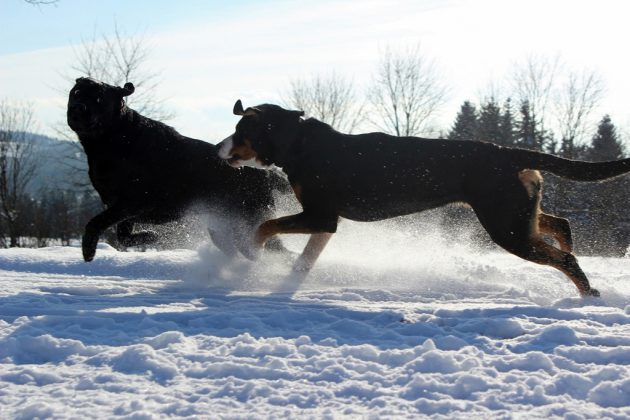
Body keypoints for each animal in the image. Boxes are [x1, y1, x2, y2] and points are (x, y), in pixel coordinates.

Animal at [66, 78, 288, 260]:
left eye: (99, 98)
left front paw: (88, 251)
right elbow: (124, 236)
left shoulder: (132, 202)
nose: (78, 107)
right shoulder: (121, 209)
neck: (115, 139)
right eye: (76, 92)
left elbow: (95, 222)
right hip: (225, 228)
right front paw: (151, 237)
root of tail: (266, 174)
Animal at [218, 99, 630, 296]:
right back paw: (572, 251)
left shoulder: (321, 216)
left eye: (239, 131)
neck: (300, 145)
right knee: (561, 225)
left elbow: (264, 227)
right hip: (517, 214)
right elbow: (304, 258)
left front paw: (249, 254)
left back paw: (589, 293)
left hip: (507, 227)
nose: (218, 149)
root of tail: (509, 152)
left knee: (566, 259)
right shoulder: (325, 222)